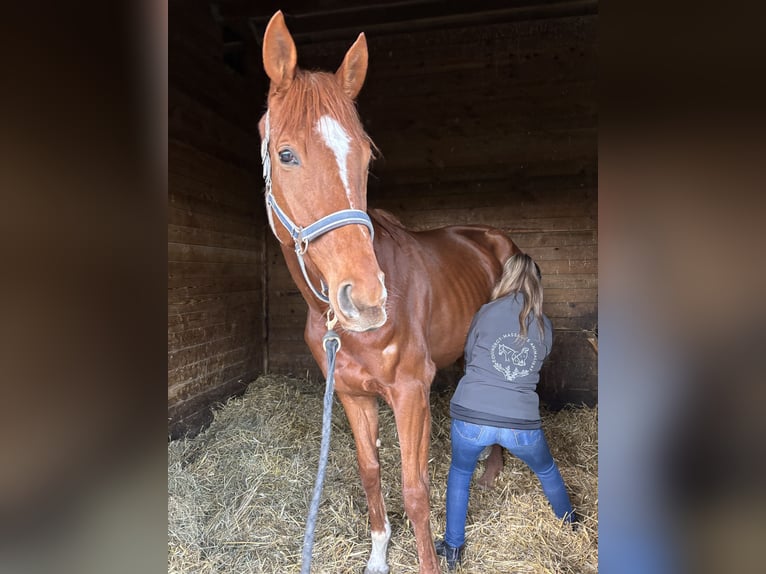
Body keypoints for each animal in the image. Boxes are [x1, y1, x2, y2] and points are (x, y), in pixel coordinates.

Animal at [258, 11, 519, 574]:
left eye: (365, 156)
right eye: (286, 154)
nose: (366, 301)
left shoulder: (410, 393)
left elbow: (415, 489)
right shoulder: (353, 395)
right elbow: (371, 471)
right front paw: (379, 554)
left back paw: (491, 473)